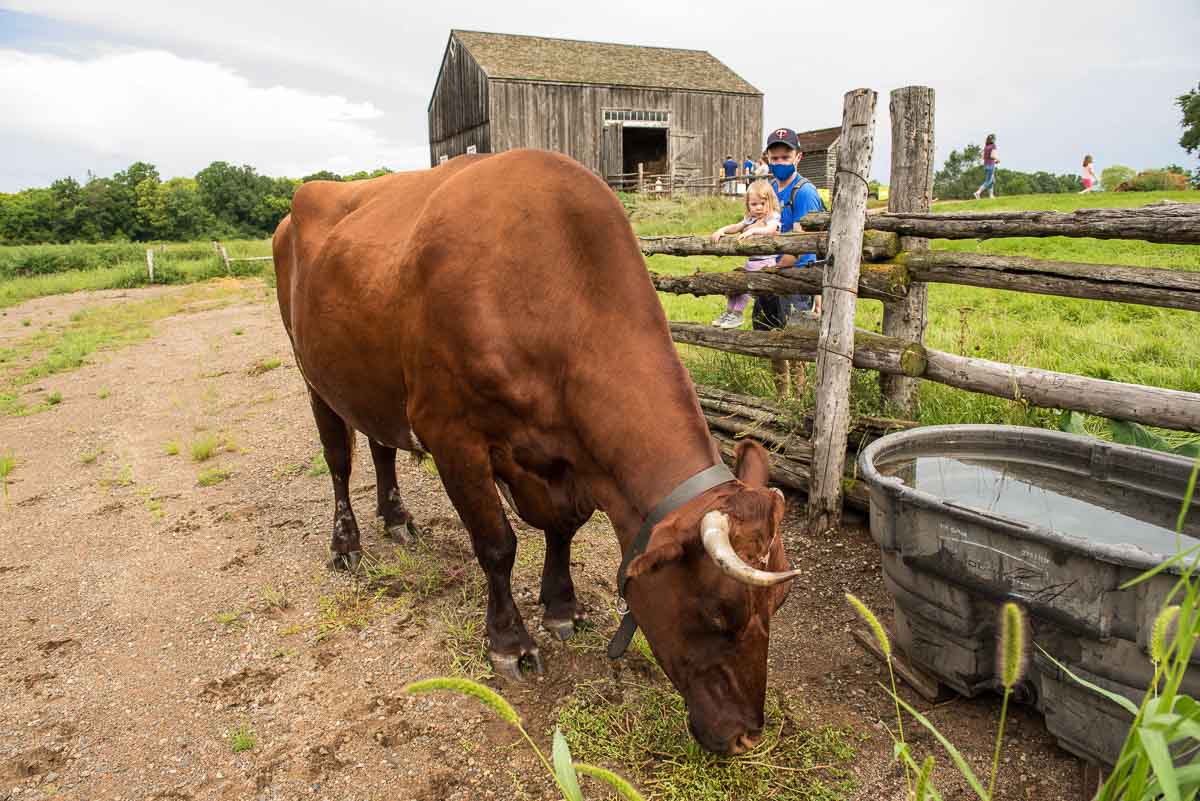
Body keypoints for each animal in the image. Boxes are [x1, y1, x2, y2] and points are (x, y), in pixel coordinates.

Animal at [276, 149, 801, 757]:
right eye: (718, 613)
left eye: (778, 606)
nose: (747, 736)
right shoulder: (450, 434)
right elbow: (497, 545)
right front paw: (509, 641)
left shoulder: (565, 462)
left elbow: (562, 529)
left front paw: (562, 605)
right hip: (312, 372)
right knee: (339, 461)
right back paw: (347, 543)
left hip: (371, 384)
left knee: (382, 448)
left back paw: (397, 518)